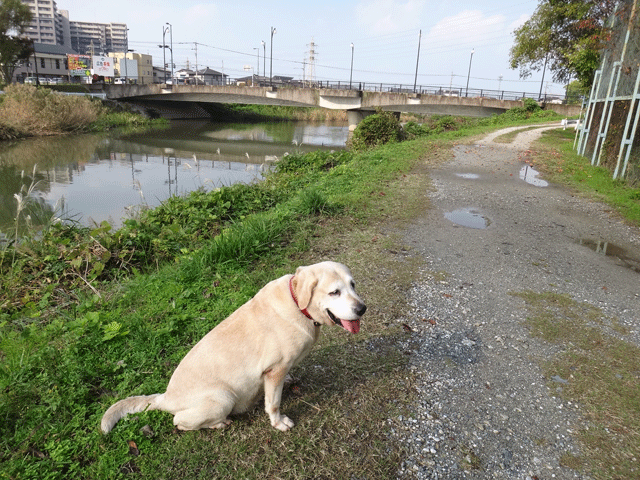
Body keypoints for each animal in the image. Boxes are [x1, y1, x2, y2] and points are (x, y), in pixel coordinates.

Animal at [100, 260, 364, 434]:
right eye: (334, 292)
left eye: (353, 285)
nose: (362, 308)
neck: (299, 305)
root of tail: (164, 398)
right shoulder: (274, 370)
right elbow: (273, 403)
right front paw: (279, 423)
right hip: (222, 398)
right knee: (180, 423)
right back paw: (219, 423)